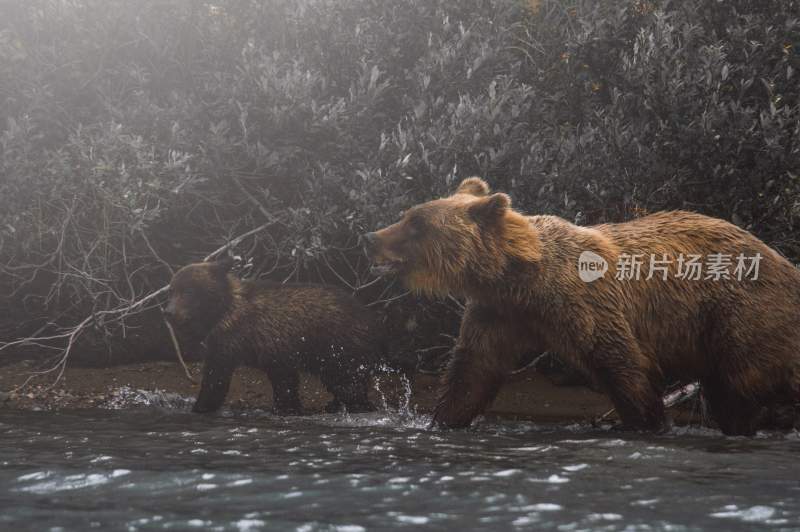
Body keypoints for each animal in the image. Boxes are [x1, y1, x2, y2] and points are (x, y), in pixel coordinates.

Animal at [162, 258, 384, 416]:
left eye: (189, 292)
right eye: (171, 291)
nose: (169, 313)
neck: (225, 313)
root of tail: (370, 317)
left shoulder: (274, 344)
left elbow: (283, 381)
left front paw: (287, 409)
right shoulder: (224, 345)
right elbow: (216, 378)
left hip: (338, 347)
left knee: (348, 383)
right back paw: (335, 404)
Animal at [362, 177, 800, 434]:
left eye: (417, 224)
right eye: (407, 215)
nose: (371, 237)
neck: (519, 276)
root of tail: (784, 261)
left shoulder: (582, 302)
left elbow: (620, 361)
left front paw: (647, 423)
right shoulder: (498, 311)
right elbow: (474, 369)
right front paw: (440, 420)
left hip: (740, 314)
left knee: (741, 384)